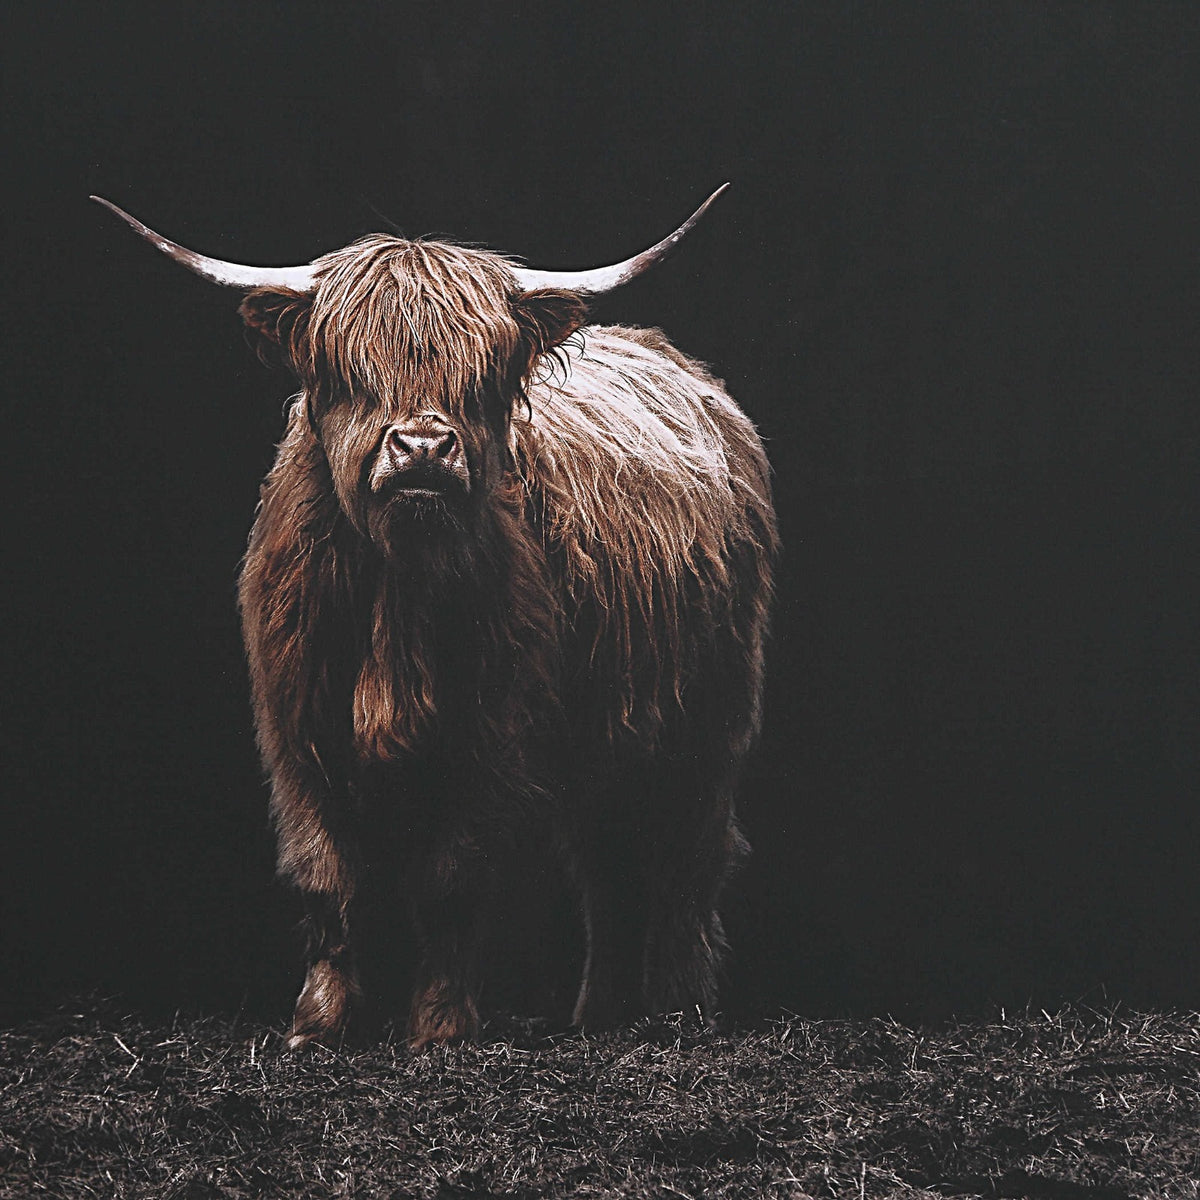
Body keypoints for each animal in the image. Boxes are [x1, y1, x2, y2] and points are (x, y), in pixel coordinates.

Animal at [95, 188, 777, 1050]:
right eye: (348, 369)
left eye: (484, 373)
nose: (421, 448)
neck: (401, 592)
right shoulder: (298, 730)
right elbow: (326, 878)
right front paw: (317, 1025)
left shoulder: (488, 737)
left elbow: (451, 883)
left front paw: (441, 1029)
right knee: (607, 863)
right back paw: (597, 1015)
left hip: (709, 717)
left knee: (688, 856)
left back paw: (681, 1008)